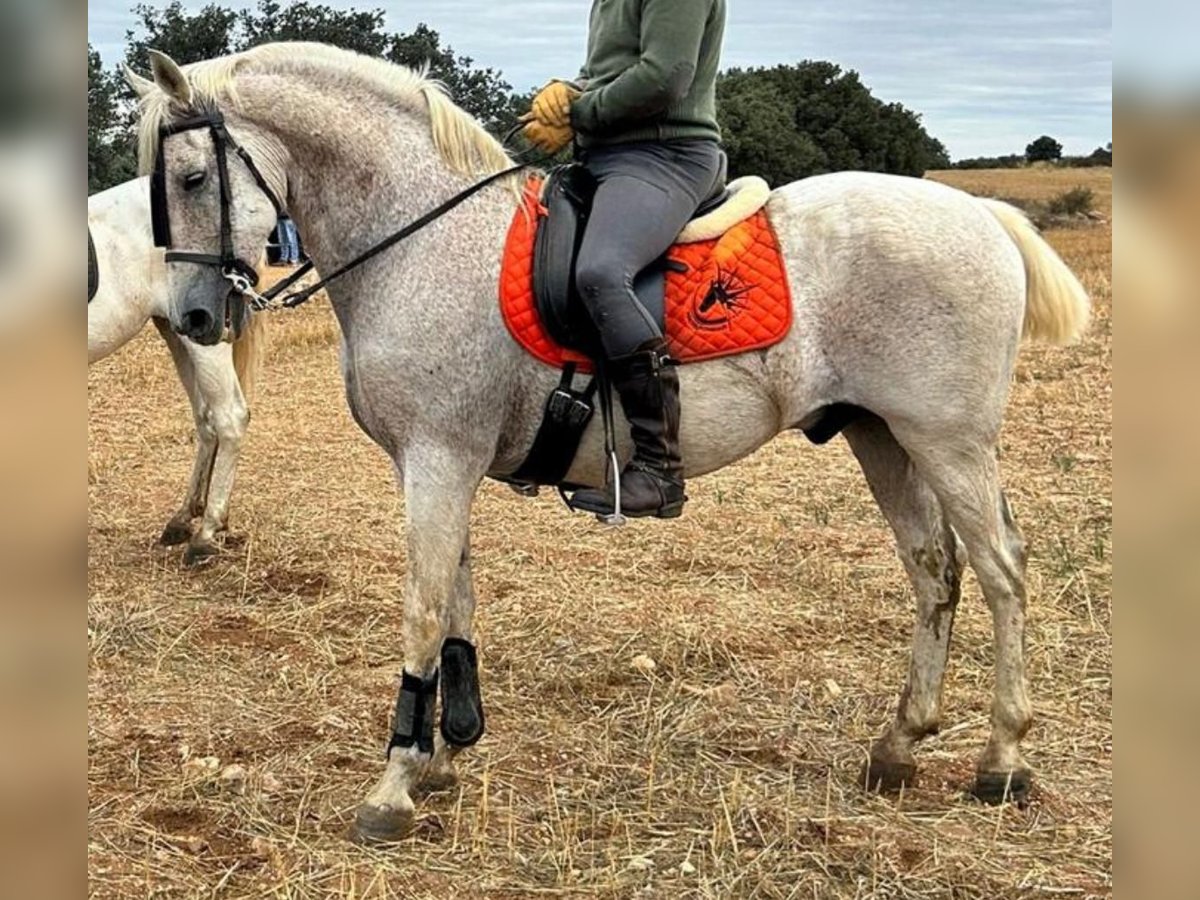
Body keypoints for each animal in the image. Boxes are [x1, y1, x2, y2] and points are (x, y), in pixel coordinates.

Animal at [88, 176, 265, 564]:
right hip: (175, 330)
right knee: (206, 418)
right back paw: (185, 518)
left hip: (204, 337)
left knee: (230, 417)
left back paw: (206, 533)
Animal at [131, 44, 1089, 844]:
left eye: (190, 176)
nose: (195, 317)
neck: (421, 239)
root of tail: (982, 216)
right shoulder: (441, 465)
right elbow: (458, 605)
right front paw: (446, 754)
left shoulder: (437, 462)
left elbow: (424, 610)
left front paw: (395, 784)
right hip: (881, 436)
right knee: (934, 570)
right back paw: (899, 745)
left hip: (950, 442)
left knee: (1001, 571)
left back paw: (1003, 762)